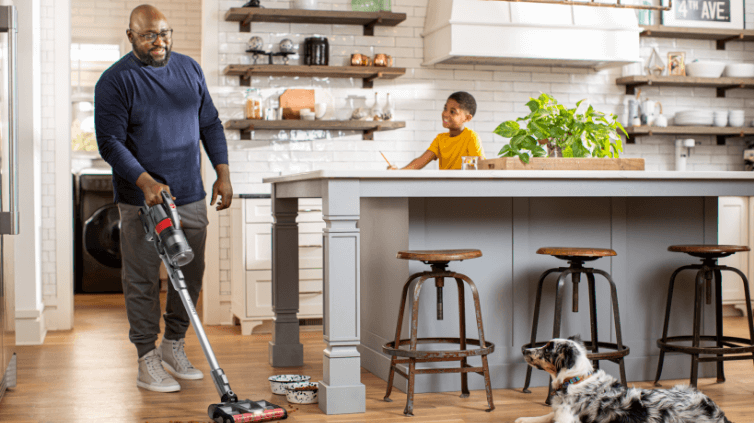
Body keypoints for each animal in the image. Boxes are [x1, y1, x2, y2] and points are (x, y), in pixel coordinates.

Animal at [516, 338, 732, 423]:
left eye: (547, 349)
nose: (524, 350)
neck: (575, 380)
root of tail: (716, 409)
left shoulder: (567, 419)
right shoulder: (559, 412)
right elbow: (546, 415)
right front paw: (524, 419)